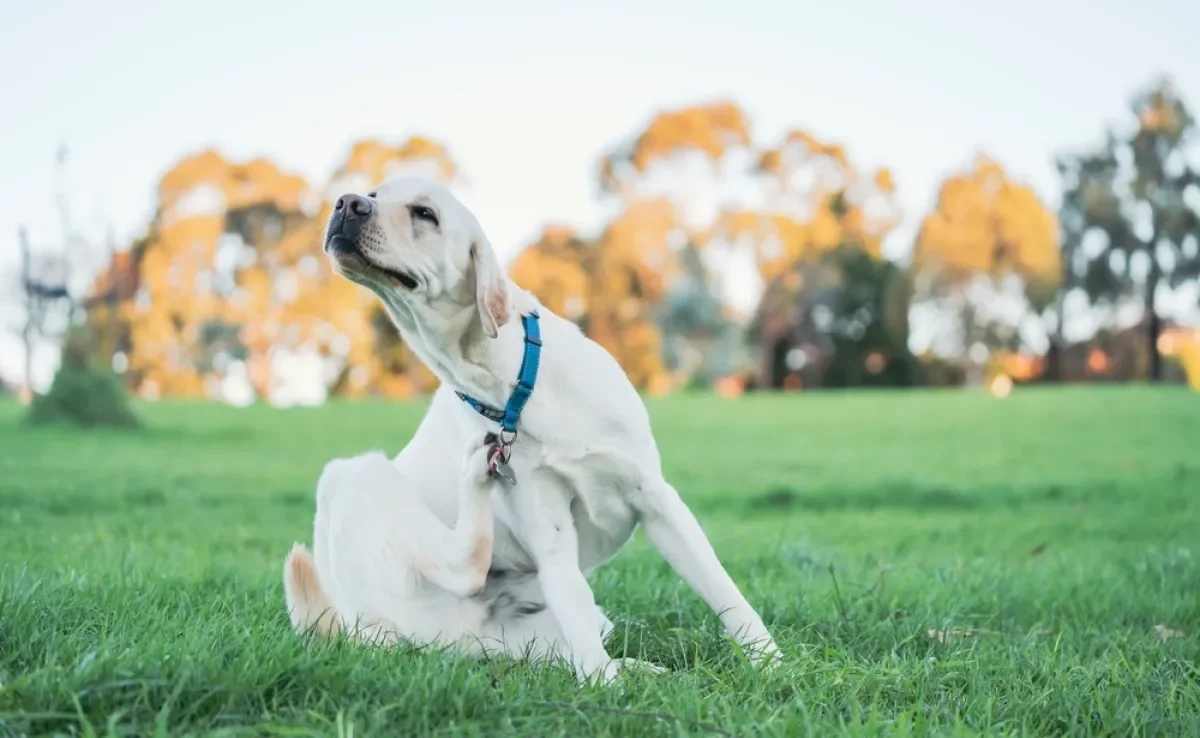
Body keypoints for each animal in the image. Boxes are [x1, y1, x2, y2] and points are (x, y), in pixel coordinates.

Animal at [288, 176, 777, 686]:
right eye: (373, 194)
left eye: (425, 213)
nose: (346, 203)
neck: (513, 385)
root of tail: (356, 630)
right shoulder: (549, 529)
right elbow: (576, 613)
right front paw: (606, 690)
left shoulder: (656, 498)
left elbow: (724, 590)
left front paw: (770, 663)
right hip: (352, 476)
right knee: (466, 567)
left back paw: (645, 670)